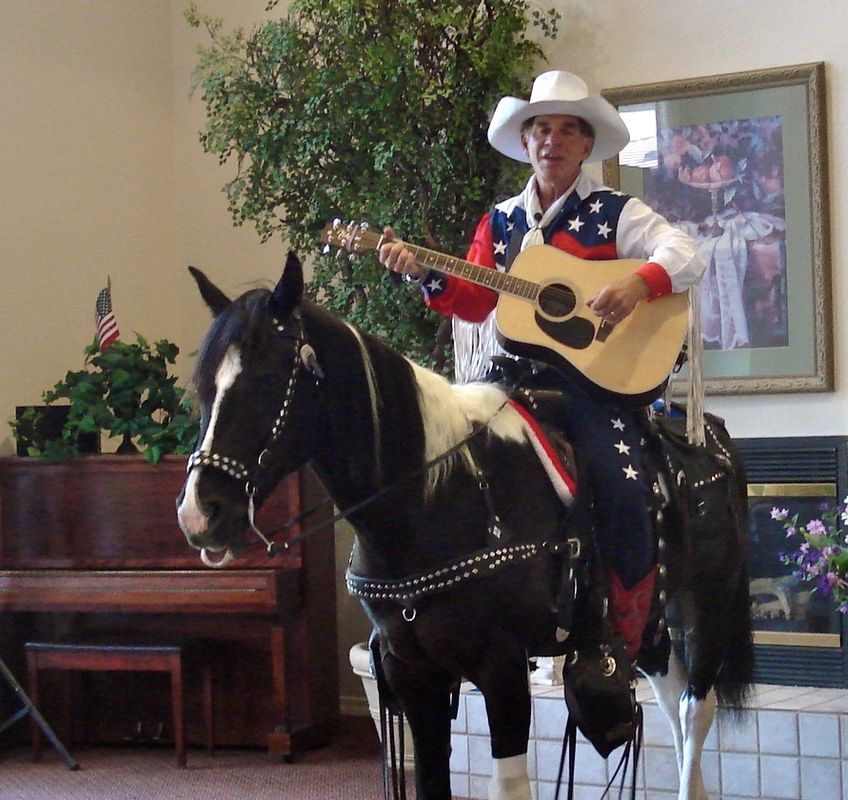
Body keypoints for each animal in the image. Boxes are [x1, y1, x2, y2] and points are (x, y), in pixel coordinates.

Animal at [176, 256, 752, 800]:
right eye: (203, 383)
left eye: (267, 379)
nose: (200, 513)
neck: (434, 496)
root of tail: (710, 433)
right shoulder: (413, 674)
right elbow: (433, 782)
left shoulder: (501, 667)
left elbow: (509, 785)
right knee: (671, 701)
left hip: (708, 600)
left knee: (694, 708)